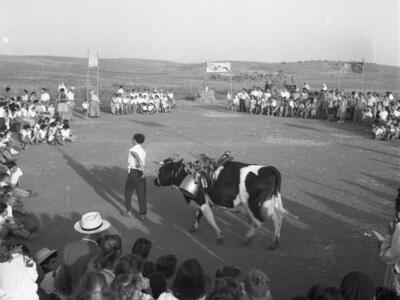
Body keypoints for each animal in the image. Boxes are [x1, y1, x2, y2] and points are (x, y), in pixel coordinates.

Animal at [153, 157, 294, 248]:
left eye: (161, 171)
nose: (154, 181)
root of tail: (270, 169)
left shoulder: (201, 199)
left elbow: (209, 217)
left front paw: (219, 235)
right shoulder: (203, 200)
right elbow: (198, 214)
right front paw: (194, 227)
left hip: (253, 204)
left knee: (259, 221)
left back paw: (248, 238)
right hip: (269, 201)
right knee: (277, 218)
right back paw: (274, 241)